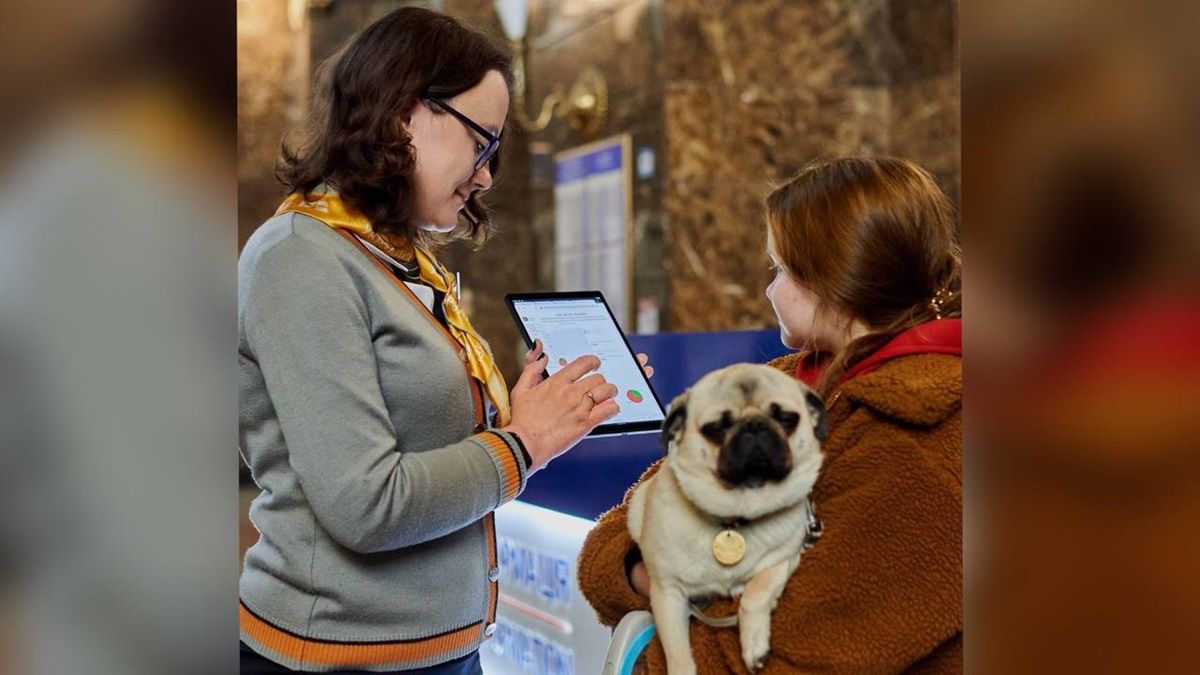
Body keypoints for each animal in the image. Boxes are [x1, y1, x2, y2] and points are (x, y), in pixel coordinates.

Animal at [628, 362, 825, 672]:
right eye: (717, 428)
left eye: (786, 419)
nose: (754, 425)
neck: (737, 515)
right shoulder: (667, 593)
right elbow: (677, 652)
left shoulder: (783, 560)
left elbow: (756, 593)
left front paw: (754, 644)